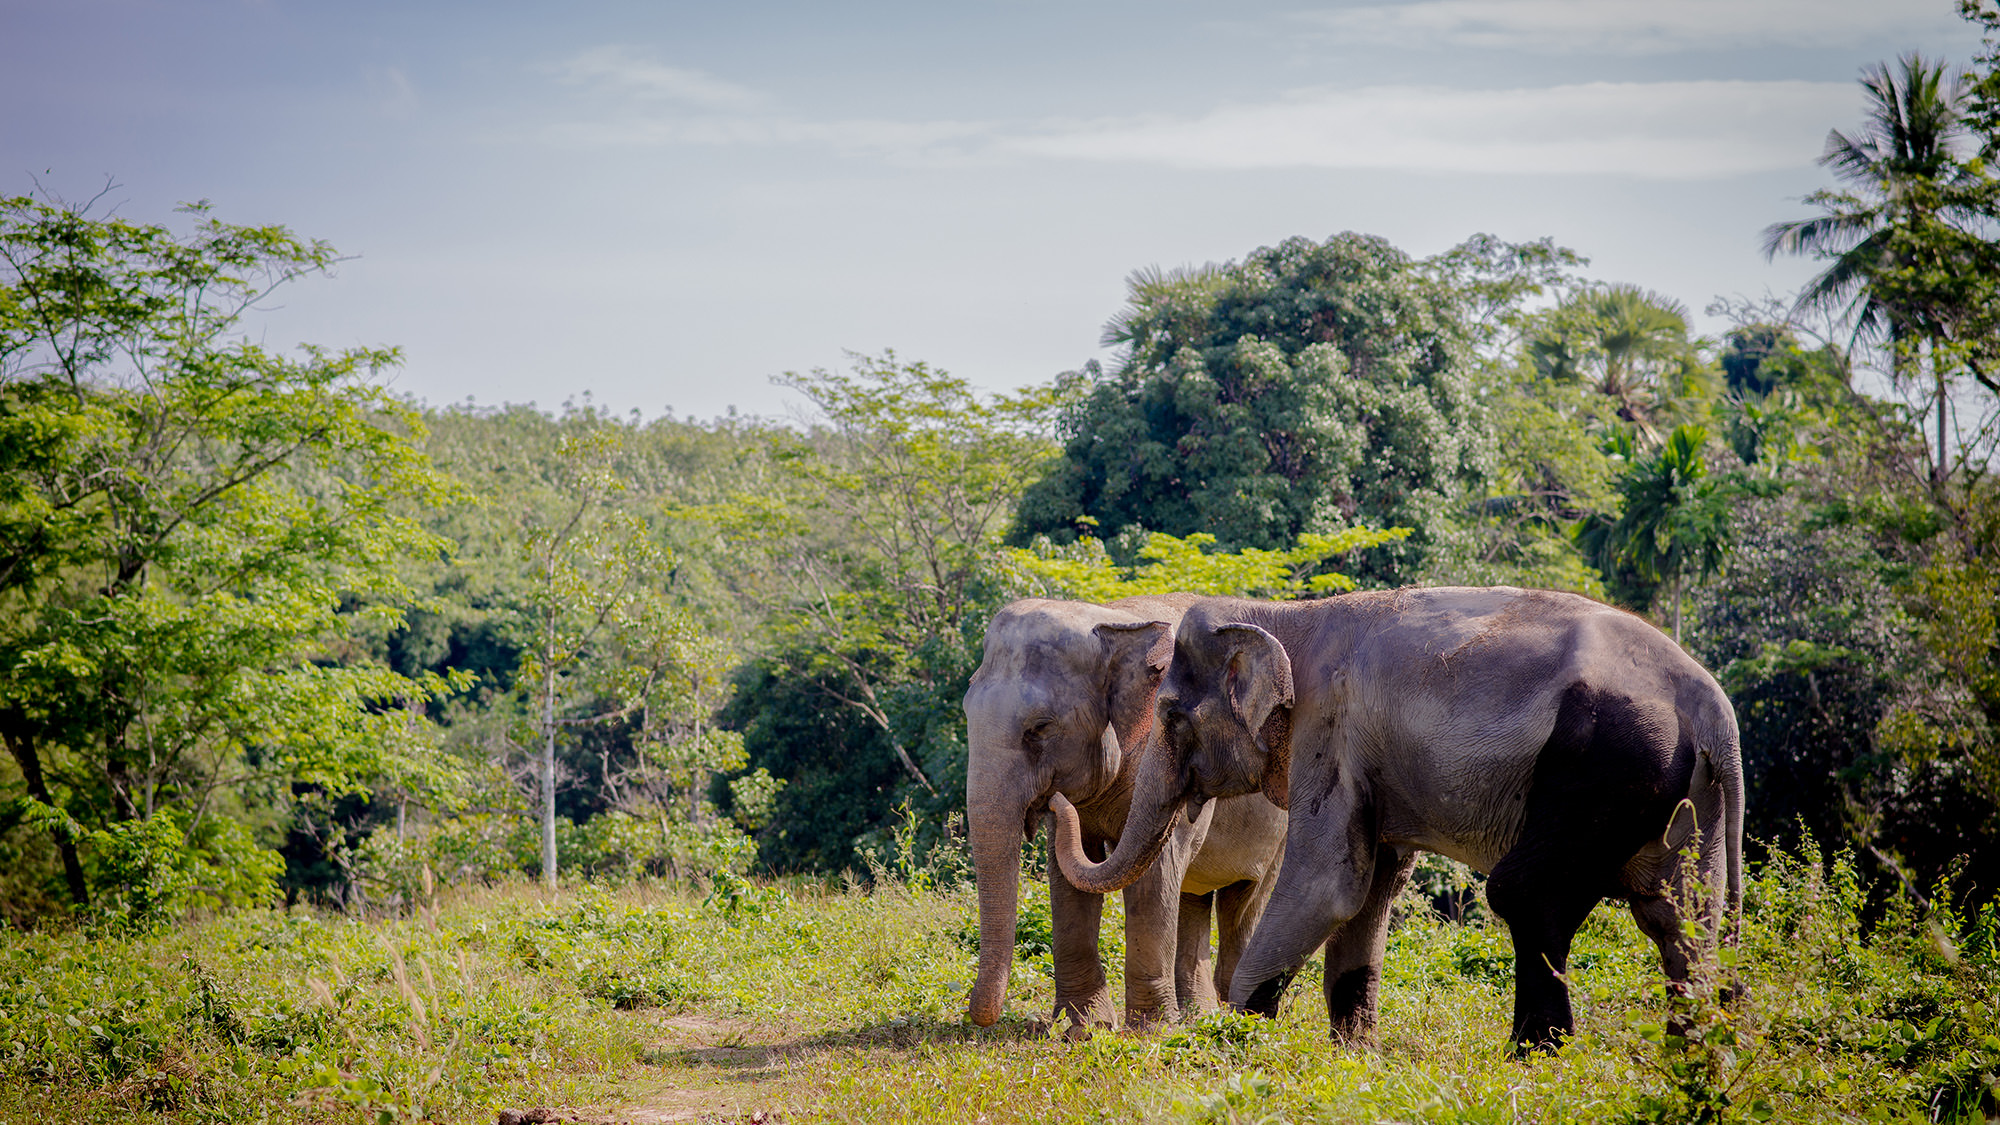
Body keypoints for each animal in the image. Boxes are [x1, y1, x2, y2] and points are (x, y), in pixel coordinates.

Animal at [964, 595, 1289, 1034]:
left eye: (1041, 727)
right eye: (966, 712)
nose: (1052, 801)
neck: (1113, 620)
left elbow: (1154, 875)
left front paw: (1150, 1030)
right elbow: (1070, 874)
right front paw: (1083, 1028)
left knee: (1243, 900)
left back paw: (1241, 1015)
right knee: (1192, 900)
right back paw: (1198, 1014)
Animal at [1050, 587, 1745, 1052]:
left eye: (1170, 718)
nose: (1056, 800)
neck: (1285, 614)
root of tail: (1716, 711)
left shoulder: (1330, 730)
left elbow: (1330, 884)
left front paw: (1239, 1037)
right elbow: (1370, 888)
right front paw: (1355, 1056)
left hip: (1603, 763)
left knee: (1525, 891)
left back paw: (1534, 1057)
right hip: (1681, 797)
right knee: (1679, 916)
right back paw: (1690, 1055)